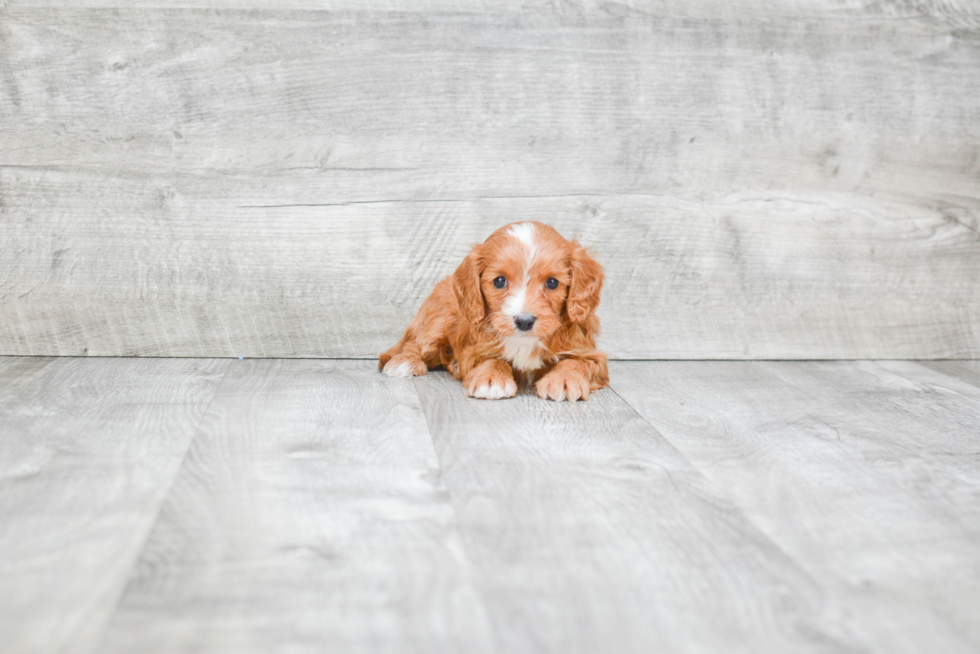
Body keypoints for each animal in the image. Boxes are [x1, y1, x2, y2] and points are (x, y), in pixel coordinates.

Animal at [380, 223, 604, 402]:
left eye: (552, 282)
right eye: (499, 281)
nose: (524, 321)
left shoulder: (590, 352)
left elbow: (577, 362)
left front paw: (565, 379)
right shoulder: (475, 350)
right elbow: (492, 359)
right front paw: (492, 379)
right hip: (436, 322)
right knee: (415, 345)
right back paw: (405, 362)